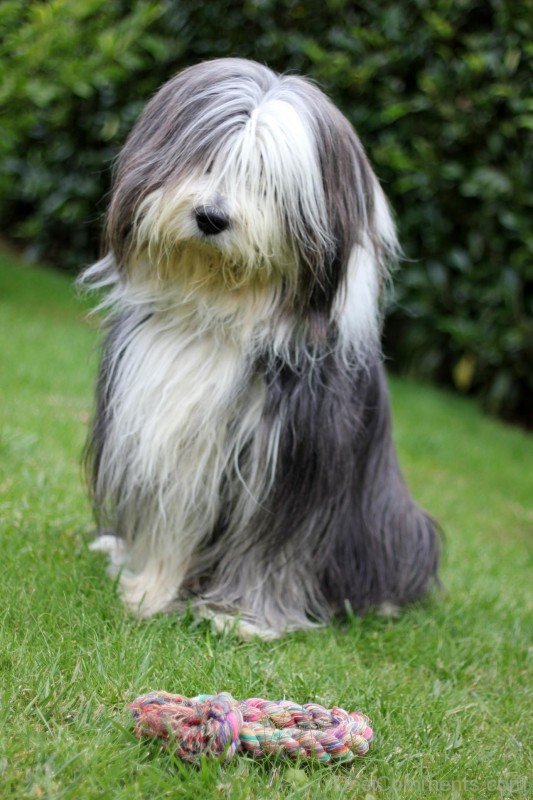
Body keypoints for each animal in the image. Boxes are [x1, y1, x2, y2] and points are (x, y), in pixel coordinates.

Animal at [81, 57, 438, 636]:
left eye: (268, 182)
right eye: (206, 157)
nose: (211, 217)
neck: (220, 315)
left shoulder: (291, 465)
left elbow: (271, 553)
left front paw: (240, 618)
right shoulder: (161, 434)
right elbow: (167, 526)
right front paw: (150, 589)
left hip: (390, 519)